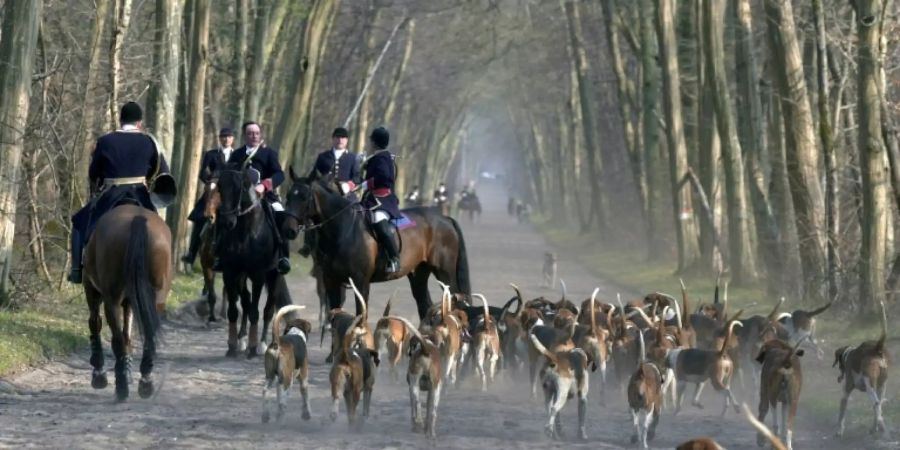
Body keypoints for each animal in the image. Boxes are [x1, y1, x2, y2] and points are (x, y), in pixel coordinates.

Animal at [82, 204, 172, 400]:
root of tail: (137, 220)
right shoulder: (132, 301)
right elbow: (128, 333)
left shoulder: (91, 288)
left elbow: (95, 323)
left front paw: (99, 374)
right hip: (156, 299)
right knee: (148, 335)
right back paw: (145, 382)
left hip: (111, 300)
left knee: (116, 338)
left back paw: (121, 386)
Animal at [214, 165, 292, 358]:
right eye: (219, 187)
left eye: (240, 188)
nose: (227, 221)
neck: (245, 232)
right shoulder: (231, 272)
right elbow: (234, 310)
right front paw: (232, 346)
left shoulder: (258, 275)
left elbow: (257, 312)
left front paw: (253, 347)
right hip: (242, 276)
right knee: (246, 301)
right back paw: (242, 339)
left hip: (274, 276)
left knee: (268, 310)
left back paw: (264, 344)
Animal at [280, 170, 472, 320]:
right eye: (288, 196)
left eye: (304, 197)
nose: (289, 230)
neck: (343, 228)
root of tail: (444, 218)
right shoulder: (331, 280)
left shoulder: (360, 282)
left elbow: (360, 315)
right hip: (419, 273)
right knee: (425, 305)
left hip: (444, 273)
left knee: (455, 302)